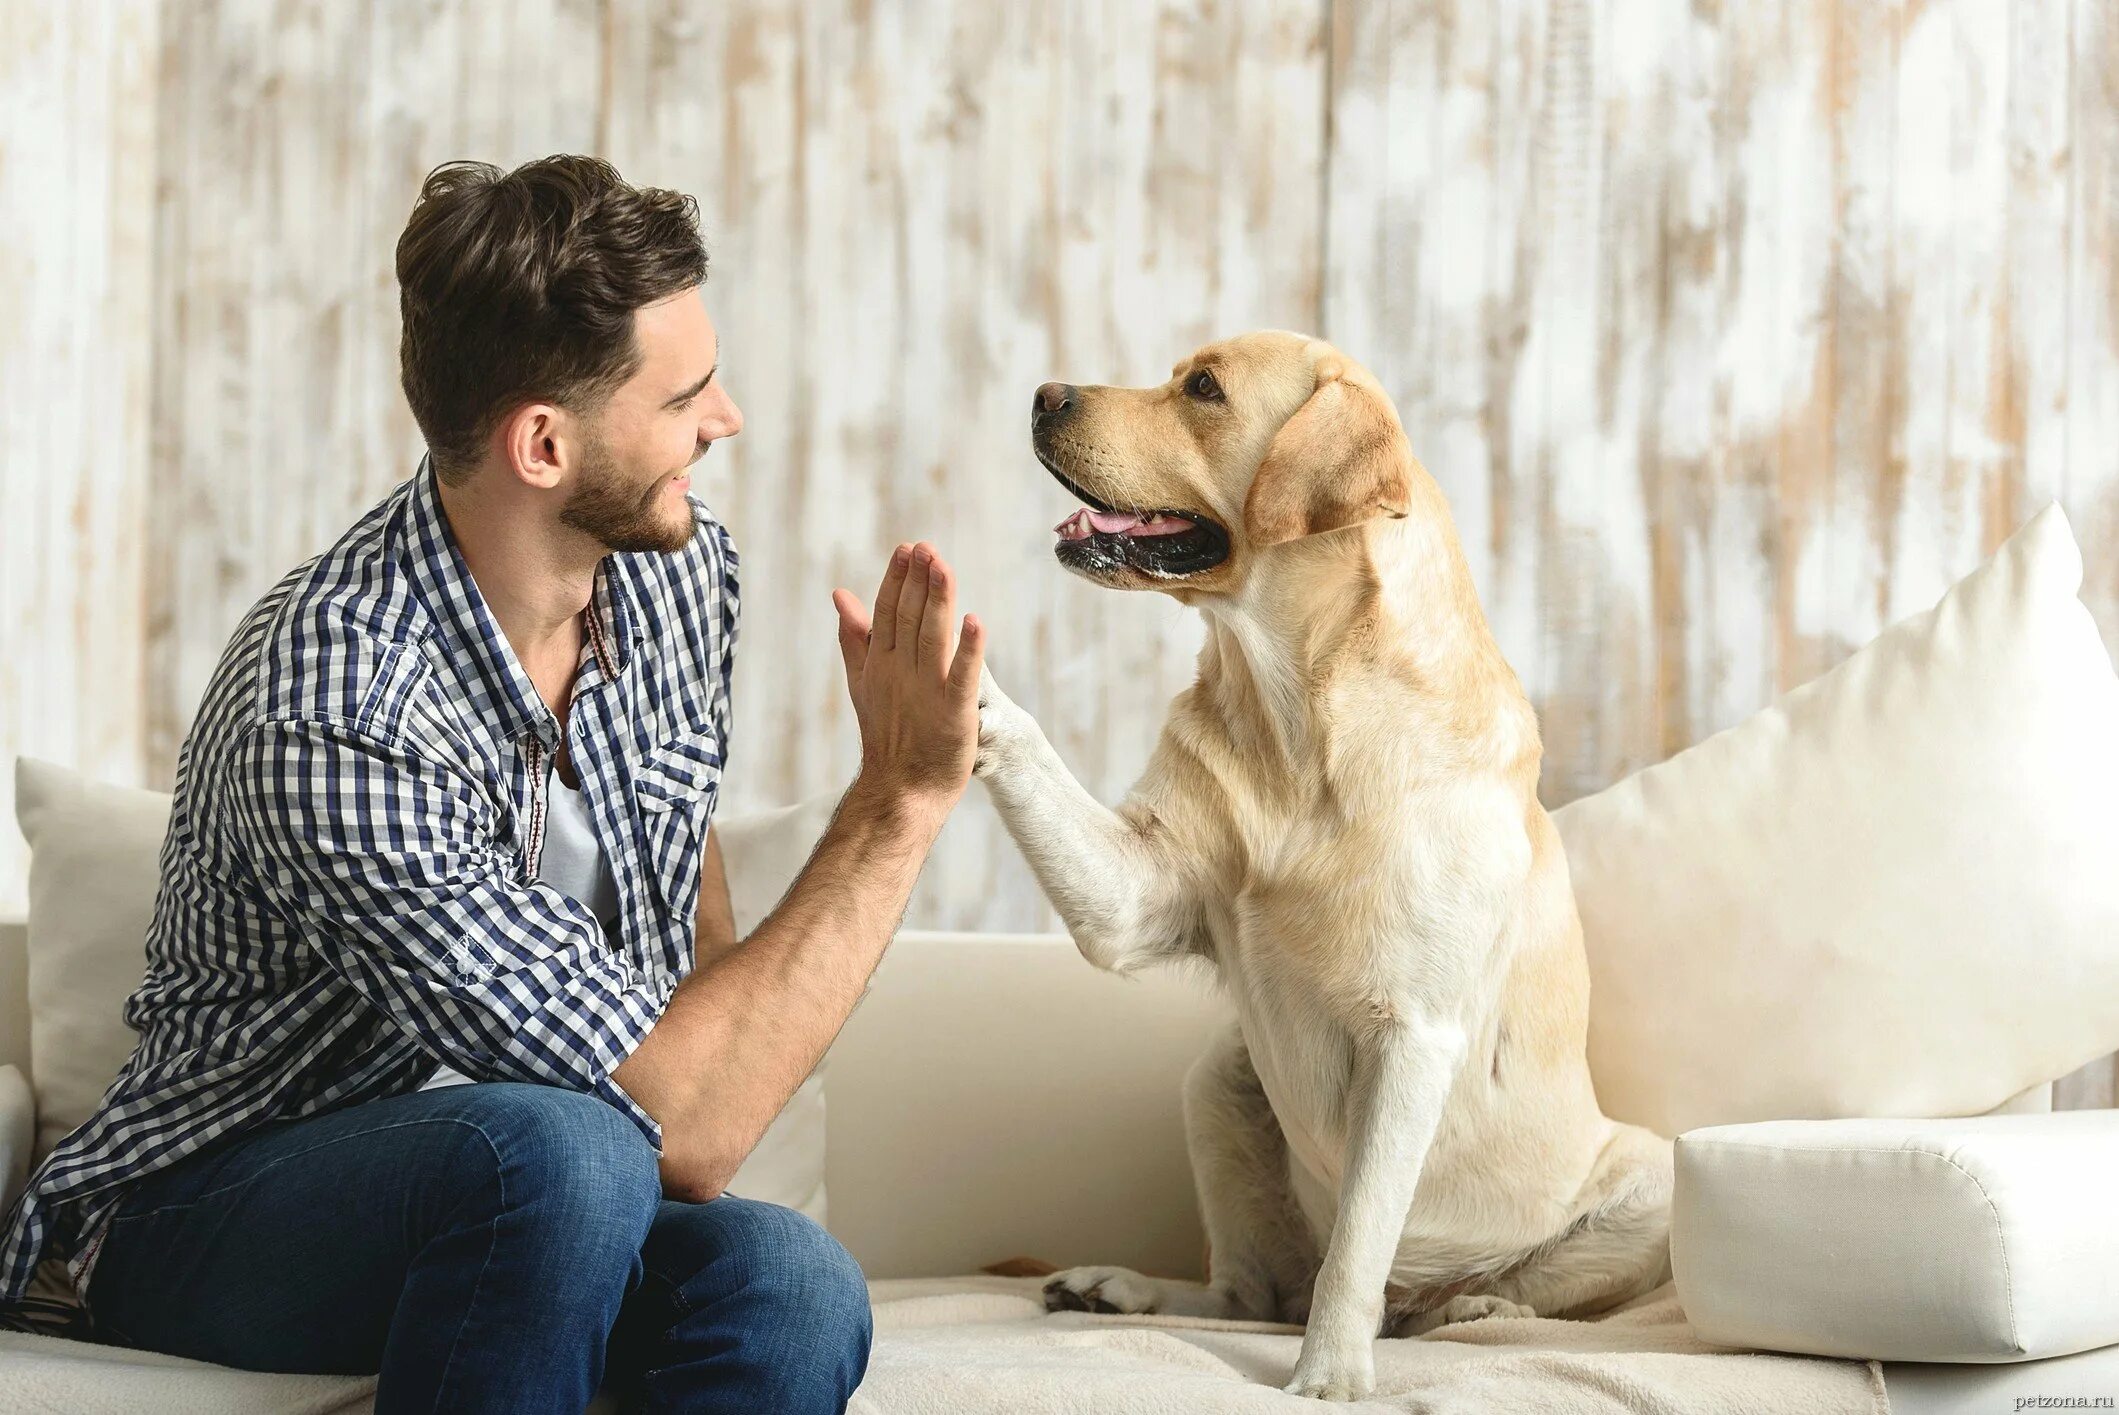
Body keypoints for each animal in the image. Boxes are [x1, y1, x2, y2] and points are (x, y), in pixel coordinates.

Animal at [970, 334, 1669, 1406]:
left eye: (1203, 388)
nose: (1045, 393)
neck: (1297, 714)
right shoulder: (1133, 893)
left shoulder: (1411, 1038)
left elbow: (1357, 1244)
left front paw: (1331, 1371)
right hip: (1219, 1080)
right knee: (1250, 1291)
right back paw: (1120, 1287)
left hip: (1651, 1180)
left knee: (1453, 1293)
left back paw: (1465, 1304)